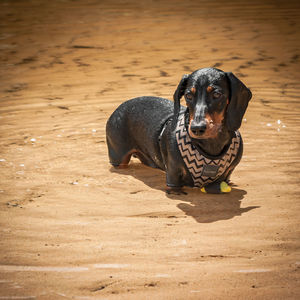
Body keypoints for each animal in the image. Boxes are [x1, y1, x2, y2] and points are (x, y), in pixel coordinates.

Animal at [105, 67, 251, 195]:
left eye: (216, 94)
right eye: (188, 95)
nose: (197, 128)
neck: (211, 145)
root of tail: (119, 108)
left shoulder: (227, 173)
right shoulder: (173, 174)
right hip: (118, 157)